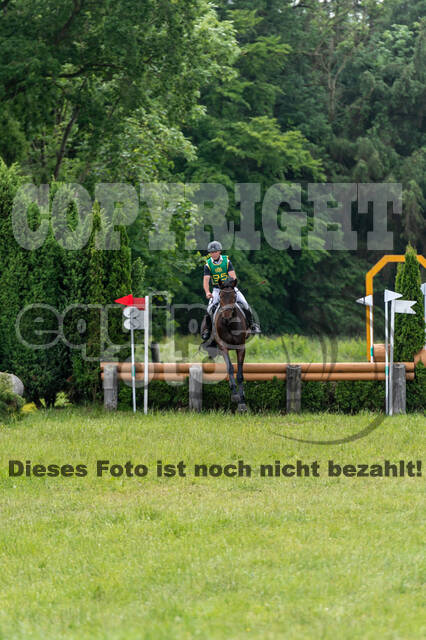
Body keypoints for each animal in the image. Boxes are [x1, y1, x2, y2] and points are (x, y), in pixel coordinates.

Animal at [213, 277, 249, 412]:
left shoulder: (241, 347)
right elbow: (230, 368)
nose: (227, 318)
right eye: (221, 296)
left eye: (234, 296)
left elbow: (240, 374)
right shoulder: (223, 347)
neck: (230, 325)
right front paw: (235, 395)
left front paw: (242, 403)